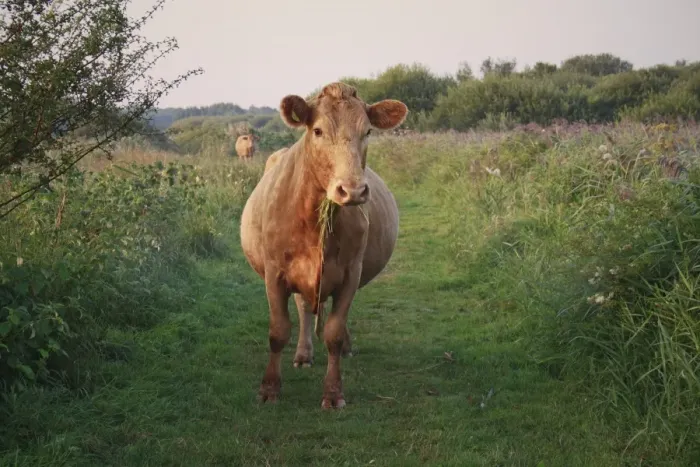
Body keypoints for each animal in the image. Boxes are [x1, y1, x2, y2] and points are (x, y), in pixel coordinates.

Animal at [239, 82, 408, 409]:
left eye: (368, 131)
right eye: (317, 131)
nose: (352, 190)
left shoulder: (350, 273)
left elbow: (334, 332)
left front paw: (333, 392)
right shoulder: (274, 272)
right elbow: (278, 331)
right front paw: (269, 388)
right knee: (305, 307)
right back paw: (303, 354)